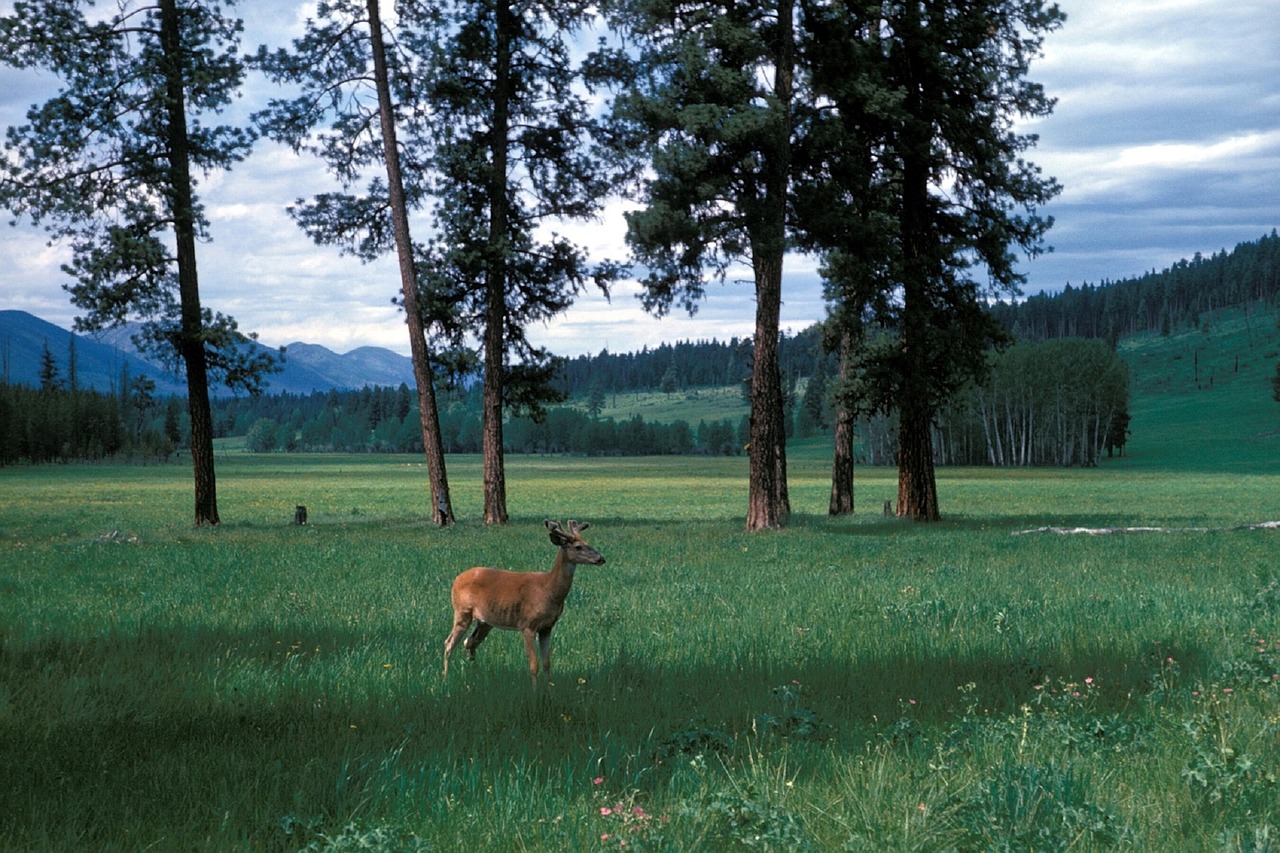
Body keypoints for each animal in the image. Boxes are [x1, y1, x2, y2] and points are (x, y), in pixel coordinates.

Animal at [445, 514, 604, 681]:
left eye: (588, 543)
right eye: (578, 547)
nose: (601, 558)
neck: (549, 590)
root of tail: (456, 579)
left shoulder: (547, 627)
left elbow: (547, 663)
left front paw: (549, 687)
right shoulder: (527, 624)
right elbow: (534, 665)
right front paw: (535, 688)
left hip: (485, 621)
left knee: (470, 642)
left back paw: (476, 675)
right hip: (462, 611)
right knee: (449, 643)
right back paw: (445, 677)